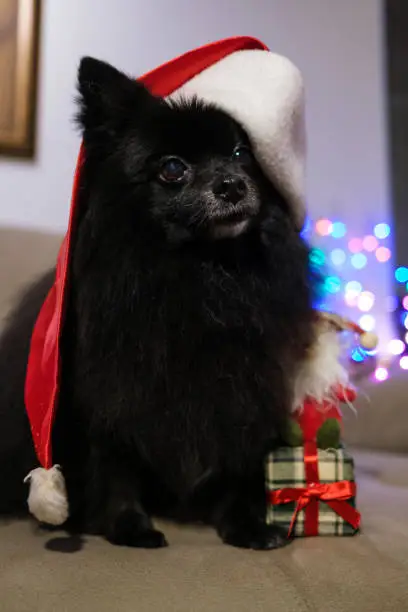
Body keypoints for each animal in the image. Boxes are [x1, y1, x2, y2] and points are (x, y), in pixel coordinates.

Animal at [0, 57, 316, 548]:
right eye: (172, 168)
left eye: (241, 154)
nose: (232, 184)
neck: (200, 274)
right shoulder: (110, 395)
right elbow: (115, 467)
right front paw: (128, 526)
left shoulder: (241, 388)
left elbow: (238, 466)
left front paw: (246, 526)